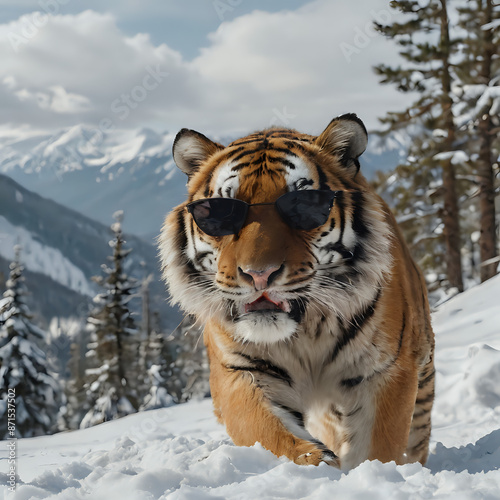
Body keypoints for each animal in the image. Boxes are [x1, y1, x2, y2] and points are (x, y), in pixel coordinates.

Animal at [159, 114, 434, 472]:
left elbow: (379, 445)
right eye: (222, 211)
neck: (307, 331)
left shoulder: (385, 370)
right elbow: (267, 429)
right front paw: (316, 462)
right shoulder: (240, 370)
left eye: (303, 206)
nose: (258, 274)